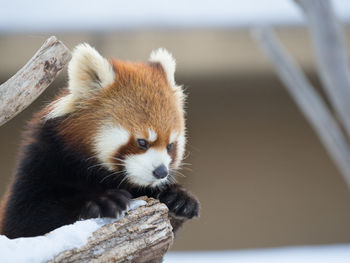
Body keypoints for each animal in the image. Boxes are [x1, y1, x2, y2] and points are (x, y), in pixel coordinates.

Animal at [0, 43, 198, 239]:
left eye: (170, 145)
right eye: (142, 142)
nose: (161, 172)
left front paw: (178, 196)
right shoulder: (43, 160)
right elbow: (27, 220)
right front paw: (101, 201)